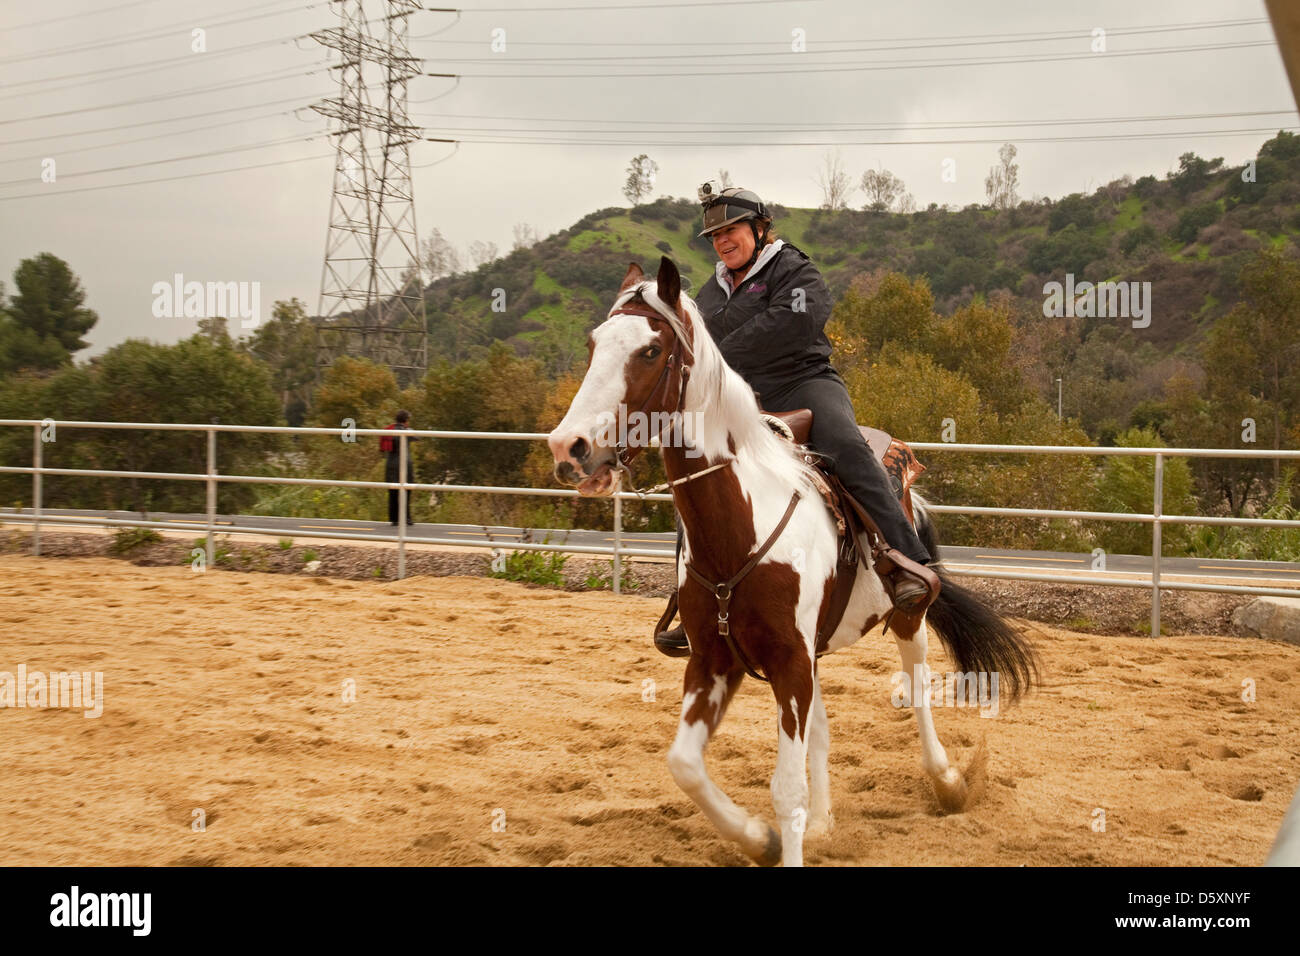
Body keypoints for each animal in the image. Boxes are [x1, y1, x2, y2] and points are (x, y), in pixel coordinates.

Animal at [546, 254, 1034, 868]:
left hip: (907, 617)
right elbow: (686, 765)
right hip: (814, 653)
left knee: (919, 688)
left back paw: (946, 782)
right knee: (822, 729)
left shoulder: (789, 663)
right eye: (593, 345)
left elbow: (785, 786)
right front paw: (761, 839)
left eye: (651, 350)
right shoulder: (716, 662)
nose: (569, 448)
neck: (742, 524)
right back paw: (824, 822)